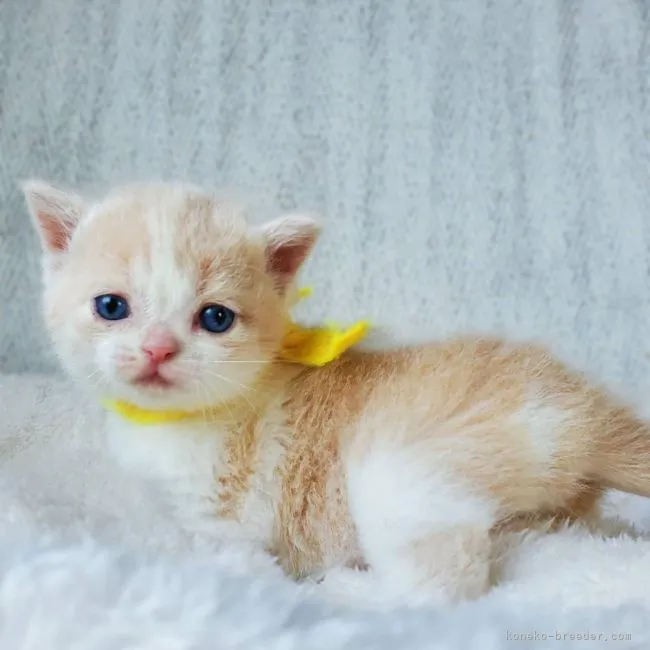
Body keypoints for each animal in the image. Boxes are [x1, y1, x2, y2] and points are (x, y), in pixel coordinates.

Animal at [22, 179, 650, 608]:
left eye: (215, 318)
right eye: (112, 307)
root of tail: (581, 411)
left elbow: (215, 554)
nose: (157, 349)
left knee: (446, 582)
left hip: (401, 469)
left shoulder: (227, 521)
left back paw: (352, 593)